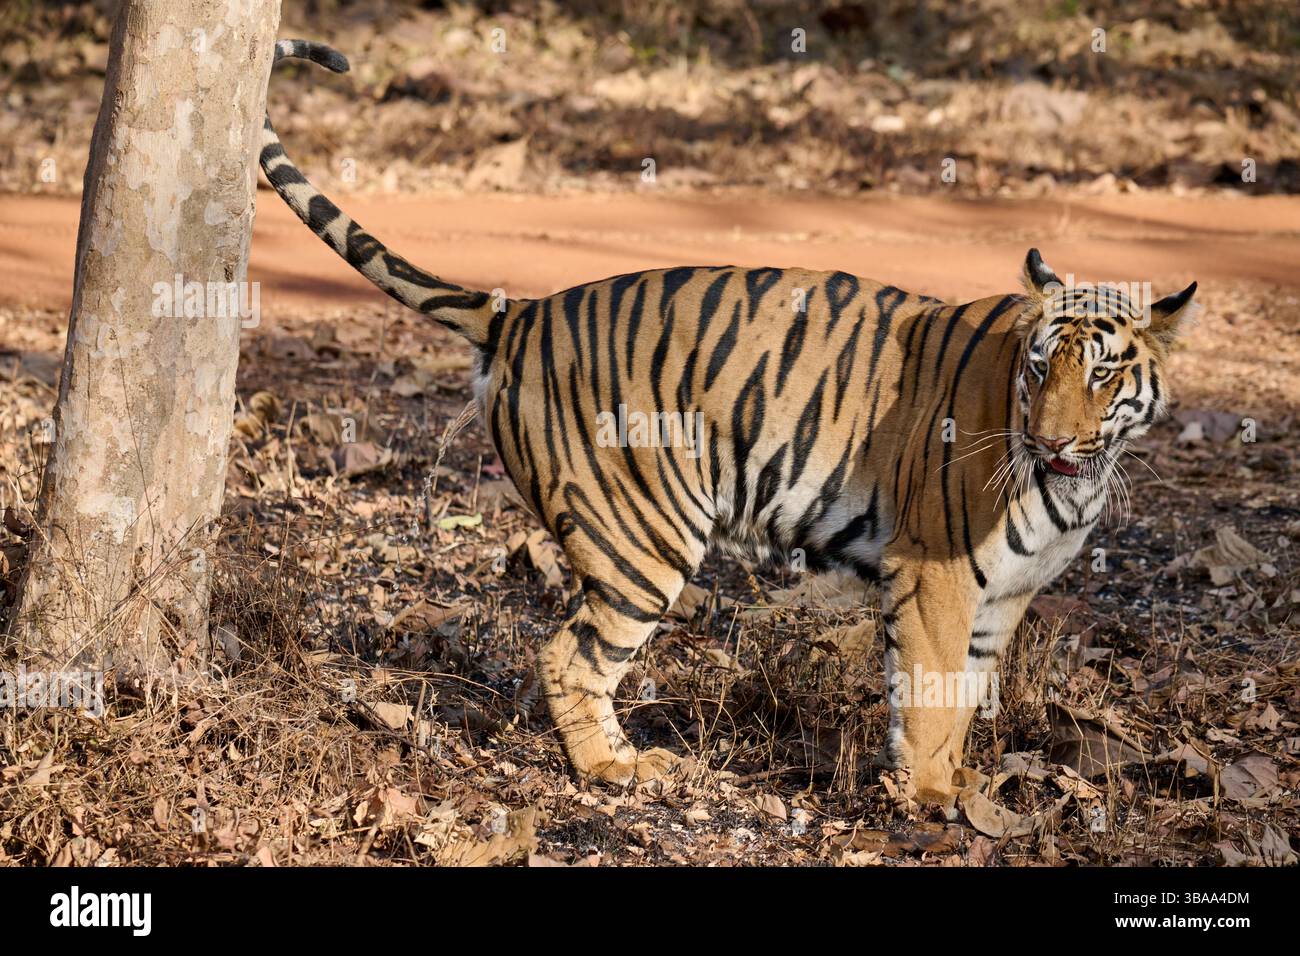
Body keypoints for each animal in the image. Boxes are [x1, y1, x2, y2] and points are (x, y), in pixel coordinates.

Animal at [260, 40, 1198, 802]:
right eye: (1041, 367)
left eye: (1101, 372)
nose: (1050, 440)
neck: (1076, 481)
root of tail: (519, 311)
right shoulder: (936, 576)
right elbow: (932, 695)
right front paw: (931, 799)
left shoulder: (1004, 592)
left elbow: (966, 697)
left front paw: (961, 786)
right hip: (643, 538)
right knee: (570, 655)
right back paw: (614, 769)